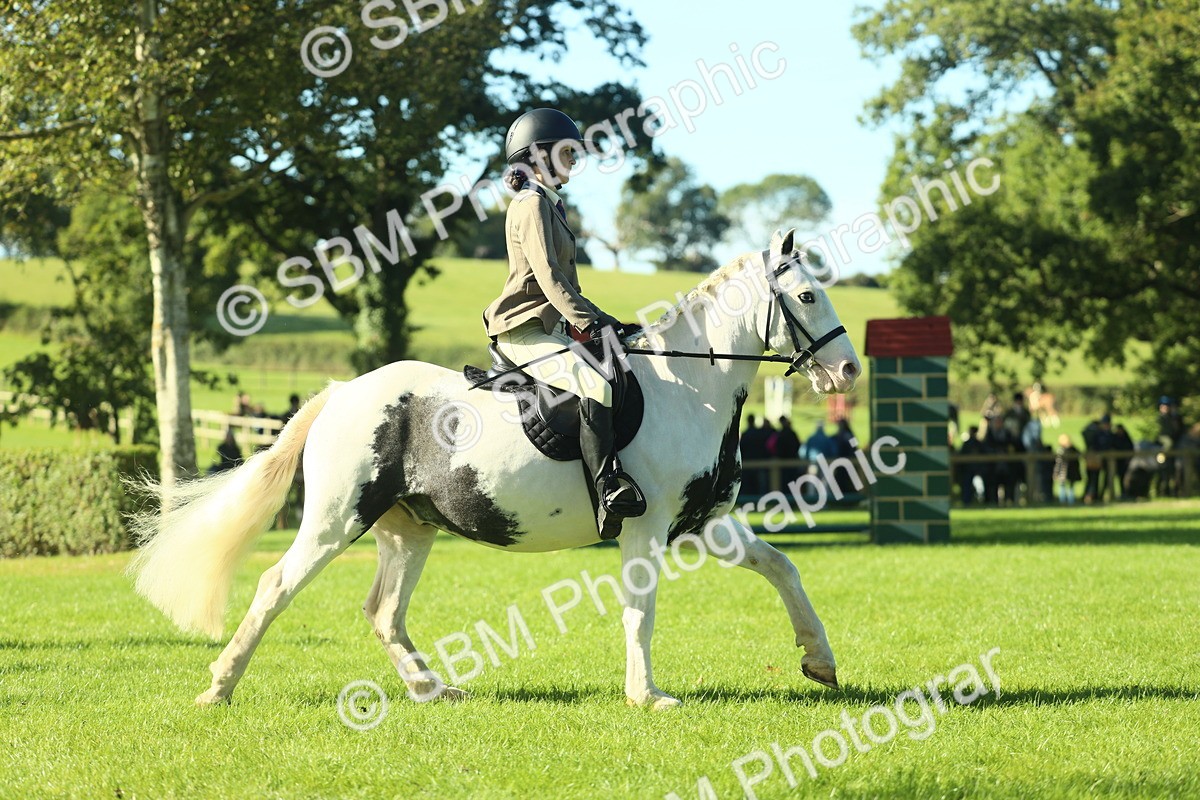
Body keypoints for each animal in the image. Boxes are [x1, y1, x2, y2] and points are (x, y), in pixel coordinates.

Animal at [129, 229, 861, 710]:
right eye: (806, 296)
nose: (850, 371)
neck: (689, 386)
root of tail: (341, 392)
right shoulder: (645, 527)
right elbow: (640, 610)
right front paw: (648, 696)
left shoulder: (702, 523)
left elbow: (781, 568)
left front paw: (819, 661)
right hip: (339, 518)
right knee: (277, 585)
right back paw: (219, 687)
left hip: (409, 528)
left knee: (384, 610)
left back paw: (432, 689)